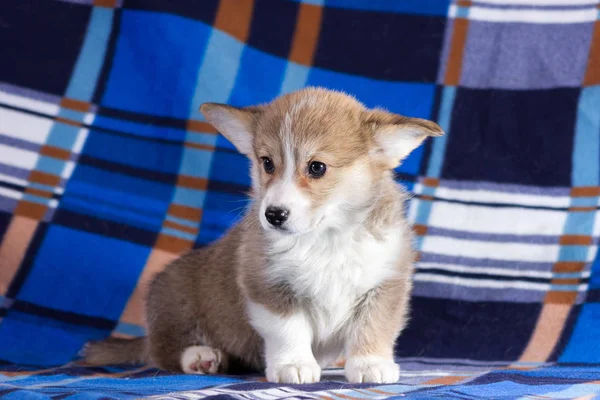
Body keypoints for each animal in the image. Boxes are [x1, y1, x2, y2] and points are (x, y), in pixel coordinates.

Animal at [82, 87, 442, 384]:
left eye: (317, 167)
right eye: (267, 163)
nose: (273, 215)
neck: (326, 237)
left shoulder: (383, 283)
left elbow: (374, 327)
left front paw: (370, 365)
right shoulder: (269, 285)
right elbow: (289, 329)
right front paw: (293, 365)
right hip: (174, 302)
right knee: (164, 352)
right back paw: (200, 356)